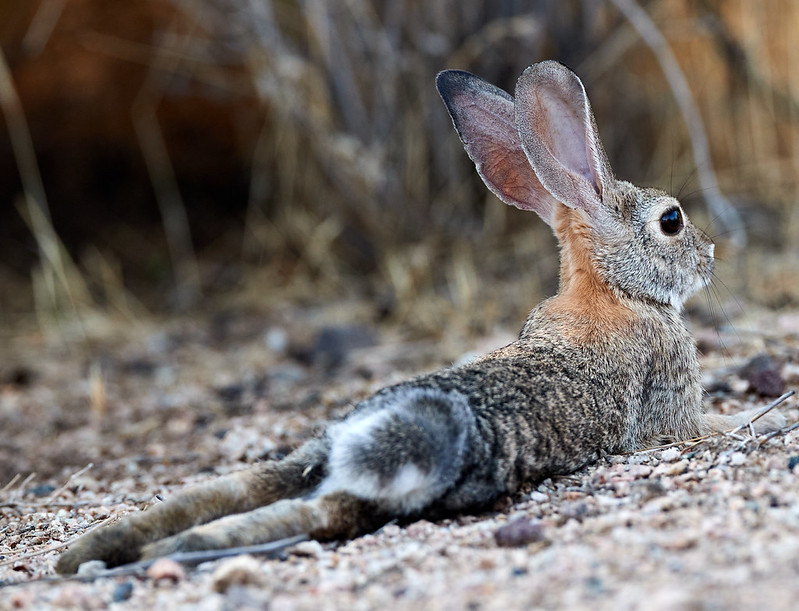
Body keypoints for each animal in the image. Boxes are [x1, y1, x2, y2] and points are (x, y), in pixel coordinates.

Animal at [55, 60, 784, 574]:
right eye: (671, 221)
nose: (709, 256)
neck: (610, 289)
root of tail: (350, 442)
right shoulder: (674, 411)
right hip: (403, 465)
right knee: (313, 511)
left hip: (315, 452)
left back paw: (88, 554)